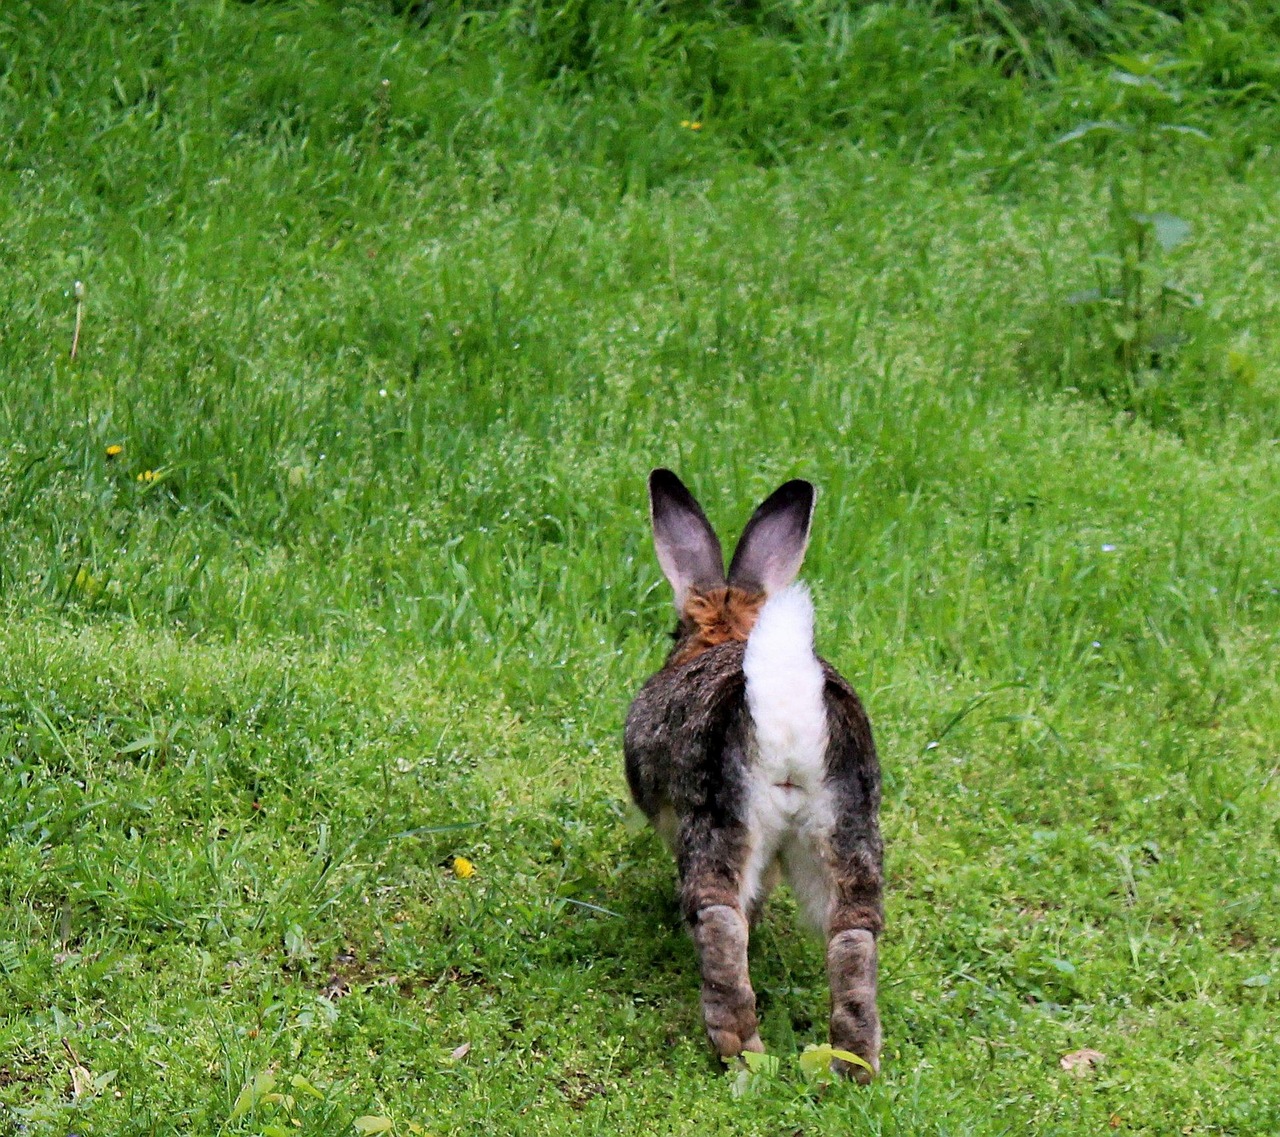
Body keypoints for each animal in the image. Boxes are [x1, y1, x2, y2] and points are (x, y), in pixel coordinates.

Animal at [624, 469, 883, 1081]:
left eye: (672, 633)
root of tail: (786, 713)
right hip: (844, 828)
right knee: (853, 933)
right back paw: (854, 1069)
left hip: (720, 817)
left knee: (720, 916)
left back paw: (741, 1056)